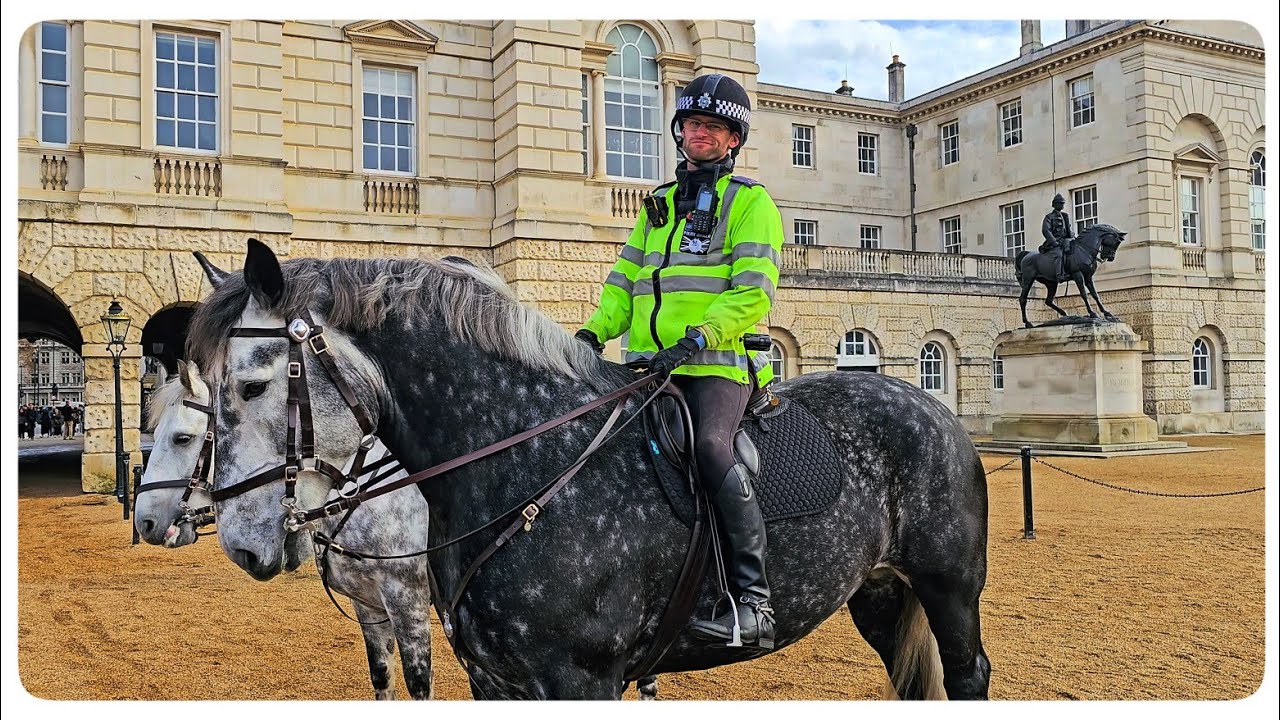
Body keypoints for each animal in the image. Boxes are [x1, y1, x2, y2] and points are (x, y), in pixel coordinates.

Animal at [185, 239, 990, 700]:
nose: (242, 543)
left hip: (948, 587)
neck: (523, 461)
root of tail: (924, 398)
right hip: (880, 594)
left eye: (251, 384)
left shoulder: (581, 679)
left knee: (969, 674)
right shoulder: (495, 679)